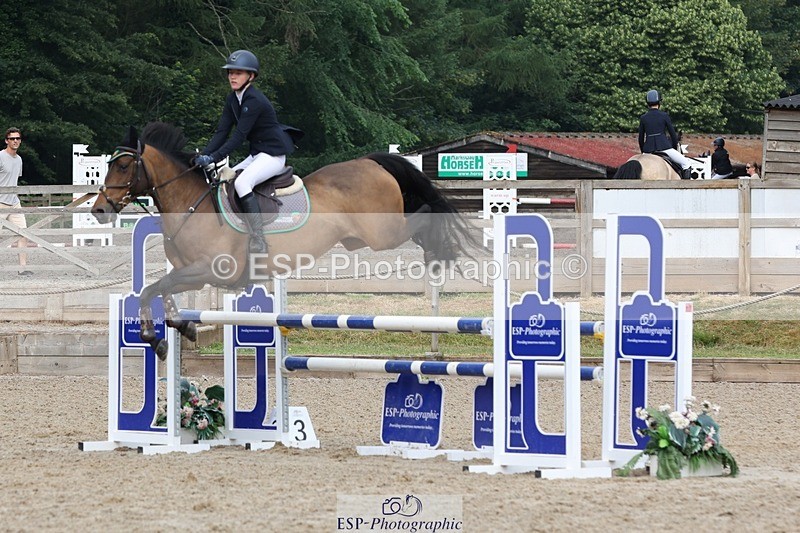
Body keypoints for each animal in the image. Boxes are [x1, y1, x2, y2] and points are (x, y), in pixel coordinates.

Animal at [91, 122, 477, 358]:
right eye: (107, 166)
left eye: (123, 167)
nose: (99, 209)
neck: (190, 203)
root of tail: (371, 163)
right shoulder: (189, 273)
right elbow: (160, 291)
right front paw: (179, 328)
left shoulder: (209, 270)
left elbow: (151, 290)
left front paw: (154, 339)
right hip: (363, 238)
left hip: (383, 234)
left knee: (424, 212)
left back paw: (439, 250)